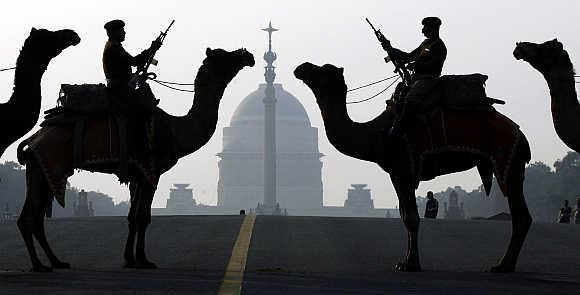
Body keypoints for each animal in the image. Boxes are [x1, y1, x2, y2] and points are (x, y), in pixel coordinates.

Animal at [16, 48, 254, 272]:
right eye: (223, 56)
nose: (247, 55)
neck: (176, 130)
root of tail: (31, 140)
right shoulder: (152, 171)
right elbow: (143, 217)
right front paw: (144, 260)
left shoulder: (138, 175)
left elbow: (132, 217)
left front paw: (129, 259)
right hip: (47, 164)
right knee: (29, 217)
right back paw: (39, 265)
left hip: (44, 170)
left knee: (35, 217)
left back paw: (56, 261)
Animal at [296, 63, 532, 274]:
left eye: (323, 70)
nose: (301, 67)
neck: (375, 135)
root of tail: (522, 136)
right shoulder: (398, 174)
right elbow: (404, 215)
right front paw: (406, 261)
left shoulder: (403, 169)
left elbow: (410, 217)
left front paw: (410, 264)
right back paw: (505, 264)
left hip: (507, 159)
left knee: (520, 214)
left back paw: (503, 265)